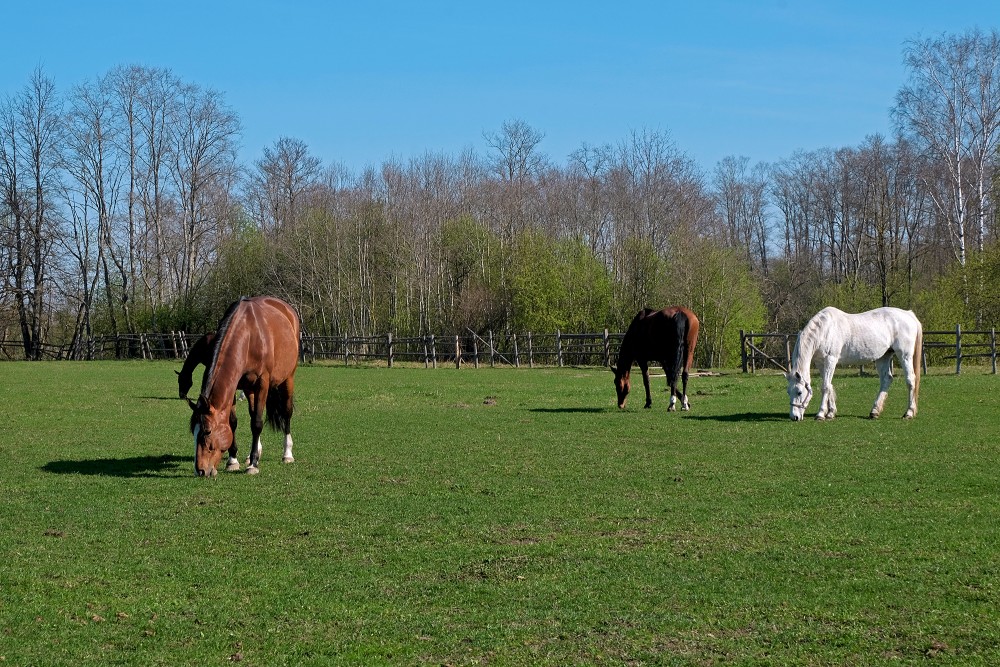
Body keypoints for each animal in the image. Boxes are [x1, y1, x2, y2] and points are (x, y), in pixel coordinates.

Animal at [186, 296, 298, 474]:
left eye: (207, 431)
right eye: (194, 432)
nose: (200, 470)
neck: (248, 336)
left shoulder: (262, 384)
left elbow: (257, 423)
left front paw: (253, 464)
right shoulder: (235, 386)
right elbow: (233, 422)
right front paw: (233, 460)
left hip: (288, 379)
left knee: (286, 413)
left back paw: (287, 454)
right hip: (249, 388)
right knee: (253, 413)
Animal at [788, 306, 920, 420]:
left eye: (799, 392)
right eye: (788, 392)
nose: (794, 417)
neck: (825, 330)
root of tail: (909, 314)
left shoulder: (831, 360)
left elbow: (825, 387)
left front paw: (821, 414)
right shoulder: (821, 363)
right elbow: (829, 385)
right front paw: (831, 413)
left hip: (904, 355)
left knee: (910, 379)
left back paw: (909, 412)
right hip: (883, 357)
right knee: (887, 379)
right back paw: (874, 411)